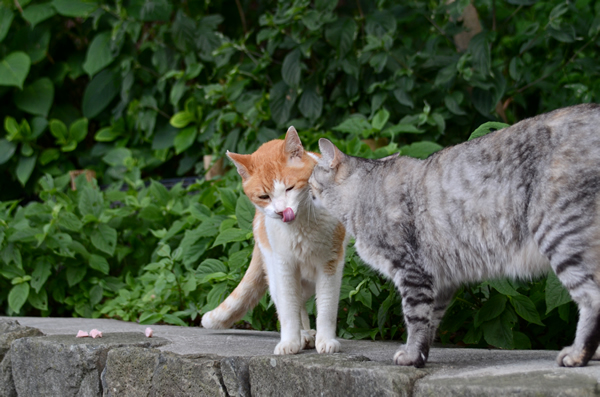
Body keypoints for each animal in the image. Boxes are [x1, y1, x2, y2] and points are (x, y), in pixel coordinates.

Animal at [202, 126, 346, 352]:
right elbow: (288, 310)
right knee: (293, 304)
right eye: (264, 197)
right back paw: (304, 336)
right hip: (274, 270)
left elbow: (326, 307)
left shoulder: (330, 263)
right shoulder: (284, 266)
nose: (280, 211)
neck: (301, 226)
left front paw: (326, 341)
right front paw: (290, 342)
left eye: (289, 188)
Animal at [310, 103, 600, 366]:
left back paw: (577, 354)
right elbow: (429, 322)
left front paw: (411, 356)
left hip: (559, 234)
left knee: (592, 299)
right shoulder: (441, 279)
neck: (361, 195)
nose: (305, 188)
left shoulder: (412, 271)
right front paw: (420, 356)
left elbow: (415, 317)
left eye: (311, 177)